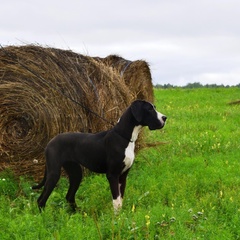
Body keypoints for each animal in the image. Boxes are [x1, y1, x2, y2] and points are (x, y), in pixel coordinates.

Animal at [32, 100, 167, 211]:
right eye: (149, 109)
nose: (165, 117)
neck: (125, 137)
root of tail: (50, 141)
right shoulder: (112, 175)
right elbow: (116, 201)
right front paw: (116, 221)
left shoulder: (123, 176)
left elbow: (120, 200)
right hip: (54, 173)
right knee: (41, 200)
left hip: (76, 173)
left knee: (69, 196)